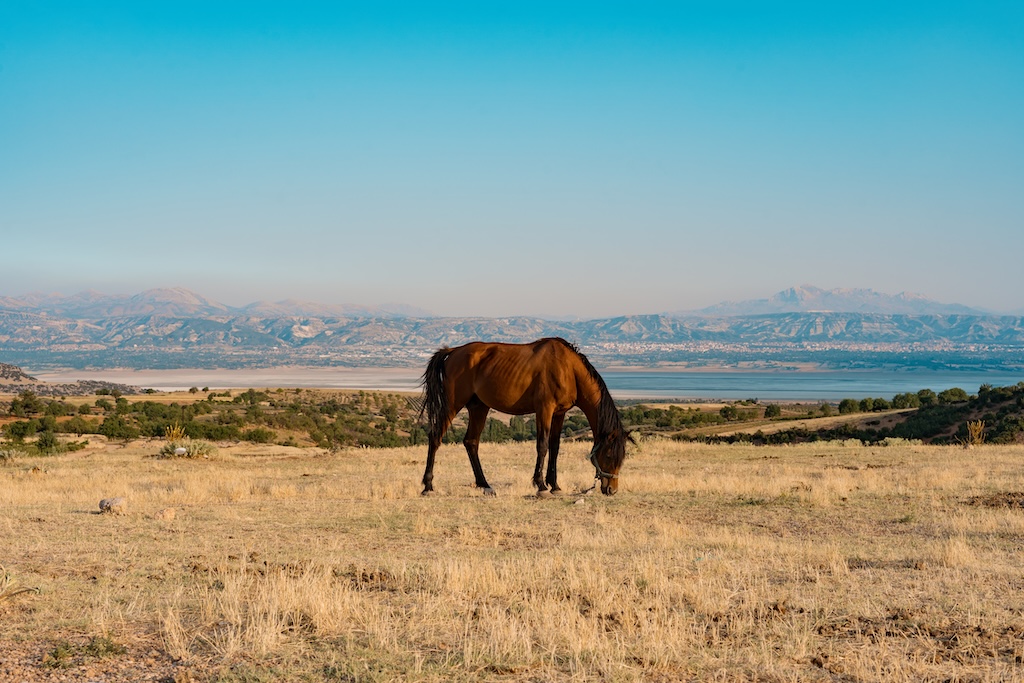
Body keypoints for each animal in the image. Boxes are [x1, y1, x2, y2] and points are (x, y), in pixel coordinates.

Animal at [419, 337, 630, 496]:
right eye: (609, 455)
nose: (611, 489)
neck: (569, 370)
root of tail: (453, 351)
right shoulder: (545, 409)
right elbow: (542, 445)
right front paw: (541, 485)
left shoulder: (559, 413)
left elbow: (555, 447)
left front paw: (555, 485)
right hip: (453, 404)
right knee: (435, 437)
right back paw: (428, 486)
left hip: (478, 407)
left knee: (471, 442)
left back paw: (485, 485)